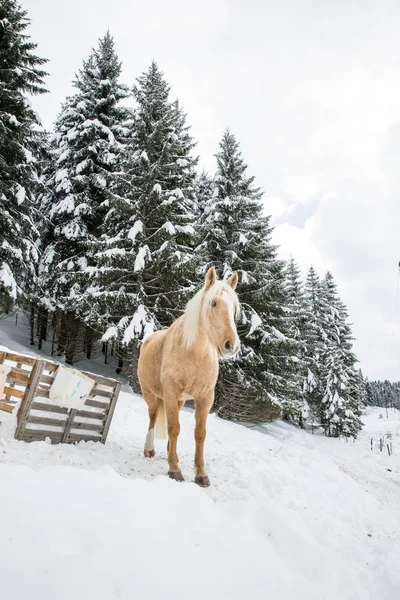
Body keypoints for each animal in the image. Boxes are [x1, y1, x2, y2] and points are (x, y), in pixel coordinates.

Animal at [138, 264, 239, 486]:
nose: (232, 345)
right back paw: (149, 449)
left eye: (235, 309)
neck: (194, 353)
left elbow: (199, 434)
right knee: (153, 416)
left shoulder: (205, 398)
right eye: (213, 302)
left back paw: (169, 451)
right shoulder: (170, 392)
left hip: (180, 400)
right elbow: (174, 428)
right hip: (150, 394)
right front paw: (174, 469)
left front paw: (201, 474)